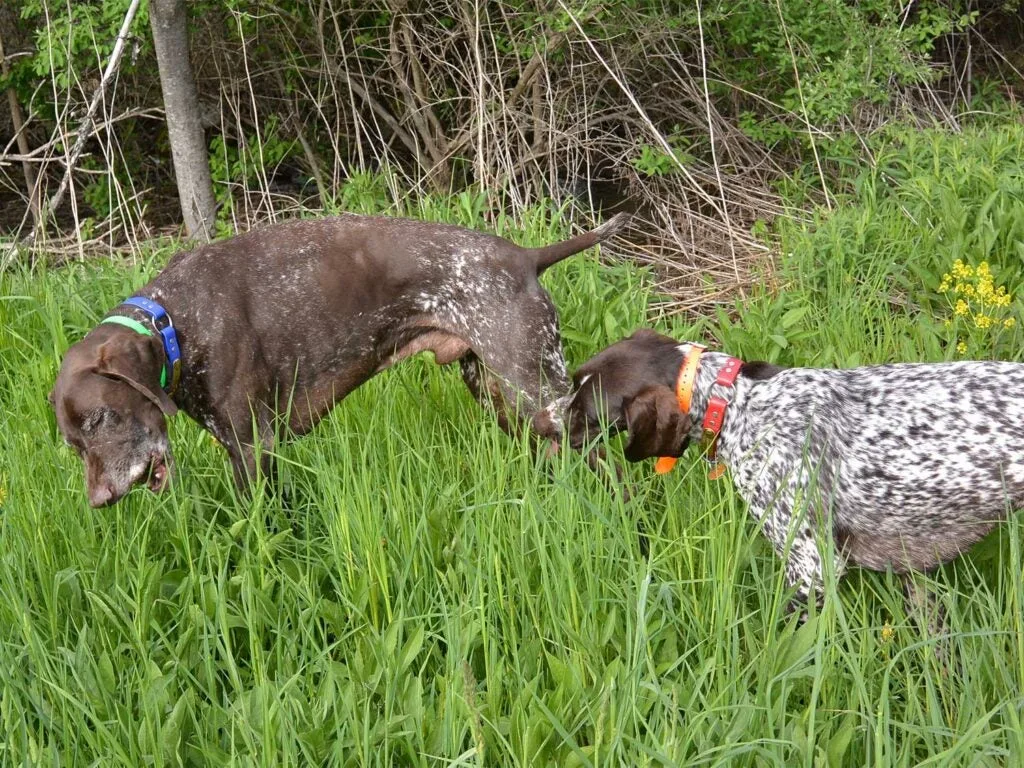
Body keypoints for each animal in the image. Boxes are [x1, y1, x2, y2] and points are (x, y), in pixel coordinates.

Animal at [51, 214, 626, 507]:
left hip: (539, 393)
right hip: (503, 398)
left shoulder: (253, 446)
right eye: (74, 445)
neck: (174, 321)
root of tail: (525, 257)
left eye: (102, 417)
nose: (99, 499)